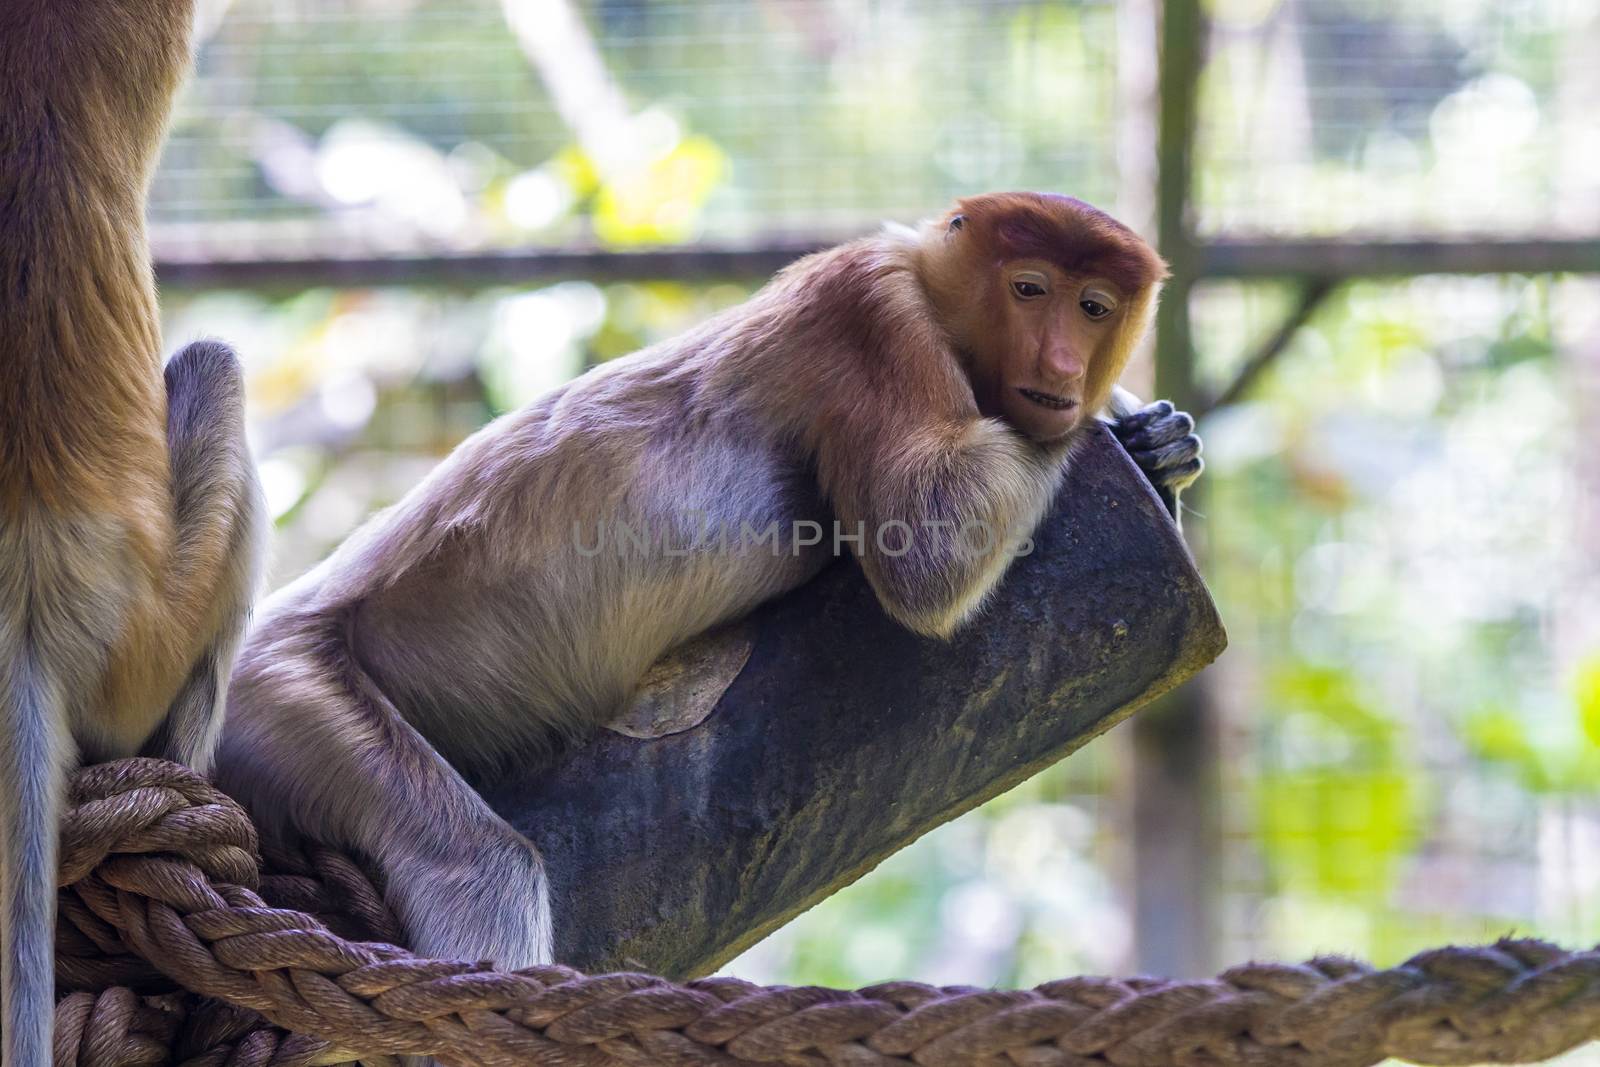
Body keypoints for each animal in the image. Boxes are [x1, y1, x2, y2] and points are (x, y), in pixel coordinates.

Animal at [219, 191, 1203, 979]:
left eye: (1094, 306)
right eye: (1029, 289)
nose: (1066, 372)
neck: (932, 287)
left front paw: (1161, 443)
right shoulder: (870, 311)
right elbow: (925, 546)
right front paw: (1123, 428)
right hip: (283, 688)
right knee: (479, 867)